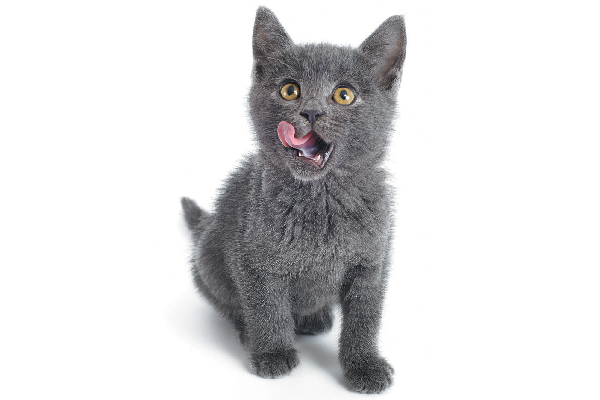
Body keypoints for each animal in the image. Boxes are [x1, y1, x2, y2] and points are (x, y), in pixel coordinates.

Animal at [182, 6, 408, 394]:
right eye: (290, 90)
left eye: (344, 95)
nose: (311, 112)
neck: (321, 200)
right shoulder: (253, 258)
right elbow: (266, 307)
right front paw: (273, 353)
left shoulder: (372, 262)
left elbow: (365, 318)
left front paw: (364, 365)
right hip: (208, 257)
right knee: (229, 303)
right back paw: (249, 333)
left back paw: (315, 318)